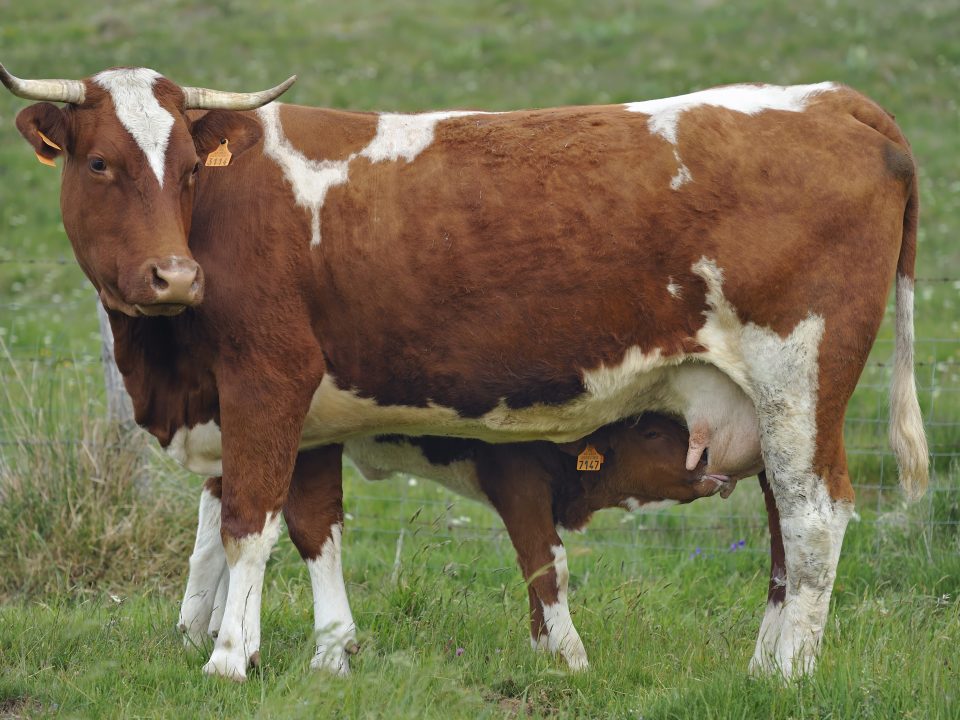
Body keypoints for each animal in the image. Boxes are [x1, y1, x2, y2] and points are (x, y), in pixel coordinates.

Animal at [1, 63, 928, 680]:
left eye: (190, 170)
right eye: (99, 164)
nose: (175, 276)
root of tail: (832, 98)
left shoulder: (267, 378)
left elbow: (245, 522)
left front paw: (229, 658)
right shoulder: (290, 410)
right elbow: (301, 525)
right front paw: (318, 651)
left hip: (799, 381)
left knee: (813, 517)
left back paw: (787, 676)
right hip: (762, 405)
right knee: (781, 525)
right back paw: (767, 661)